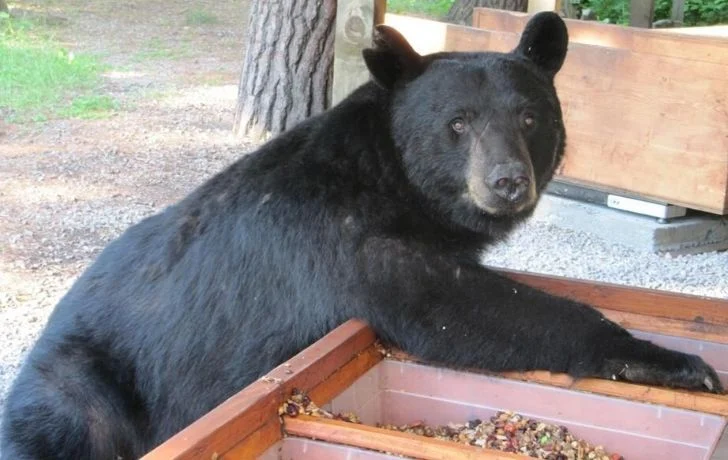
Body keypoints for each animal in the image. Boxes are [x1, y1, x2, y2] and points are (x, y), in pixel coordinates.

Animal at [1, 12, 722, 460]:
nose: (508, 181)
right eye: (458, 123)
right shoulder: (342, 240)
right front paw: (675, 361)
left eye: (530, 116)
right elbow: (455, 308)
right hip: (83, 383)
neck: (390, 179)